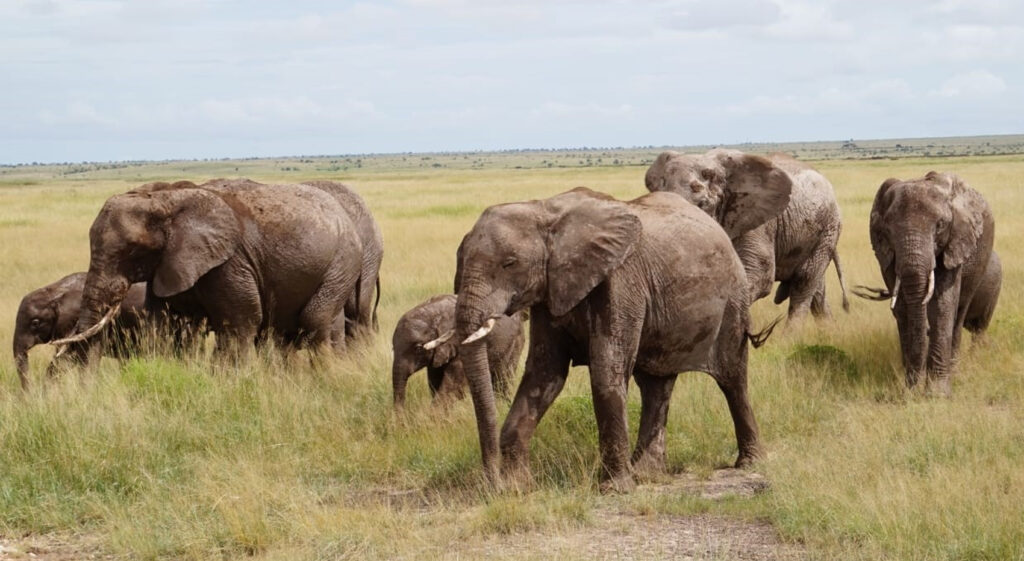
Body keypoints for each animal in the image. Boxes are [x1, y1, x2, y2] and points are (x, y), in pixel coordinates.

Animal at [54, 178, 363, 362]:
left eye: (131, 251)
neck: (166, 197)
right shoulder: (171, 264)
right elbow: (166, 326)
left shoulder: (230, 263)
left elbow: (239, 324)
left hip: (342, 262)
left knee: (315, 318)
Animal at [391, 294, 525, 408]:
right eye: (393, 348)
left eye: (418, 348)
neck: (434, 314)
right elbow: (435, 382)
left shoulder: (463, 343)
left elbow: (453, 386)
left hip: (515, 343)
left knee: (503, 379)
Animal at [452, 187, 781, 492]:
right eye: (461, 258)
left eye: (510, 263)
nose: (491, 483)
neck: (544, 209)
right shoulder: (550, 292)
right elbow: (544, 375)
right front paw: (518, 487)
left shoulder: (621, 281)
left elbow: (606, 372)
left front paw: (615, 489)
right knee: (655, 386)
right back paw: (647, 473)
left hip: (733, 302)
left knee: (732, 379)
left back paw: (748, 462)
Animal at [645, 149, 849, 320]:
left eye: (703, 205)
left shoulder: (758, 221)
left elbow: (760, 274)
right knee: (817, 290)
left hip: (829, 226)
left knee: (804, 281)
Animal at [859, 171, 998, 394]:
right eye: (888, 229)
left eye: (940, 225)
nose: (914, 386)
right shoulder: (885, 251)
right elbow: (903, 308)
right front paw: (911, 389)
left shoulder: (955, 241)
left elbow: (943, 304)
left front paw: (936, 393)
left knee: (959, 314)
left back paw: (954, 371)